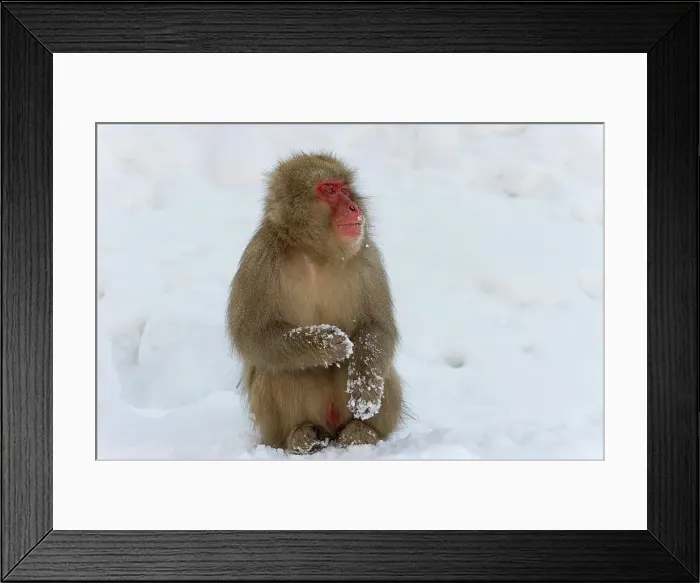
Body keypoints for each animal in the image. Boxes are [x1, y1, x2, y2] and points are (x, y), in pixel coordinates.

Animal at [225, 150, 405, 454]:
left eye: (344, 190)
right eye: (329, 191)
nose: (353, 208)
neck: (315, 253)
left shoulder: (368, 256)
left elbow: (377, 328)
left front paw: (365, 385)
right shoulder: (258, 260)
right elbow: (251, 335)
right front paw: (325, 343)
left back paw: (363, 432)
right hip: (275, 428)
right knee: (279, 366)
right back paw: (301, 436)